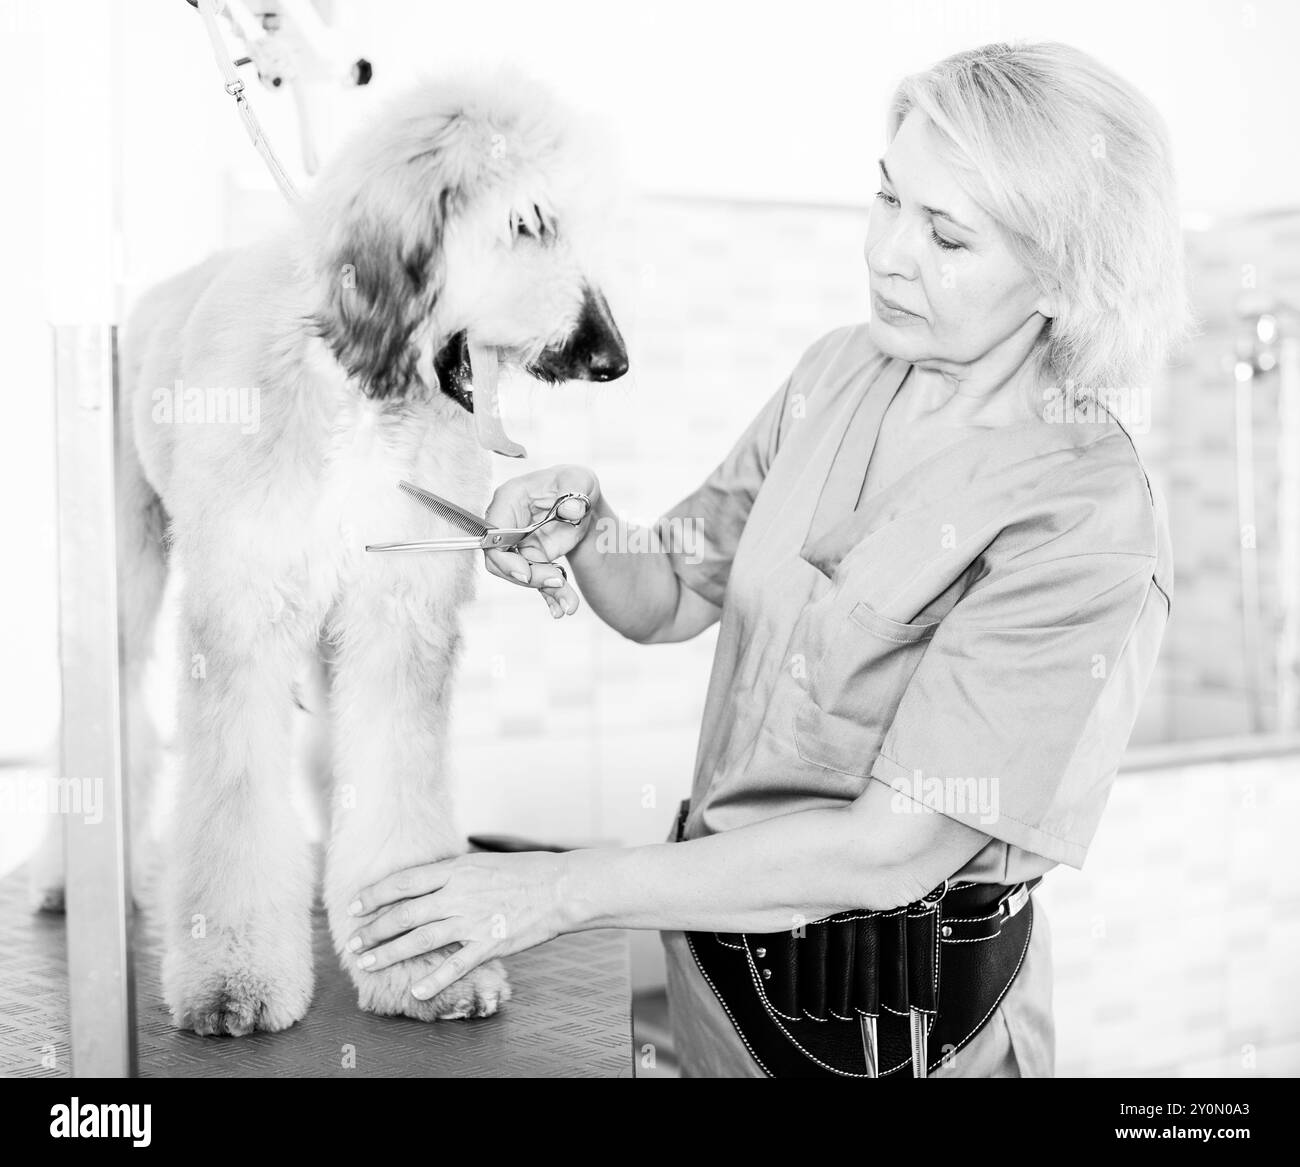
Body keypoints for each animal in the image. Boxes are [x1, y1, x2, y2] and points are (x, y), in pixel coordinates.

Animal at [106, 72, 624, 1034]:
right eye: (528, 220)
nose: (612, 357)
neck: (349, 392)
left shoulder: (398, 610)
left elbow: (390, 775)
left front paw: (418, 959)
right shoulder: (241, 612)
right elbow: (233, 799)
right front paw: (231, 975)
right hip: (128, 568)